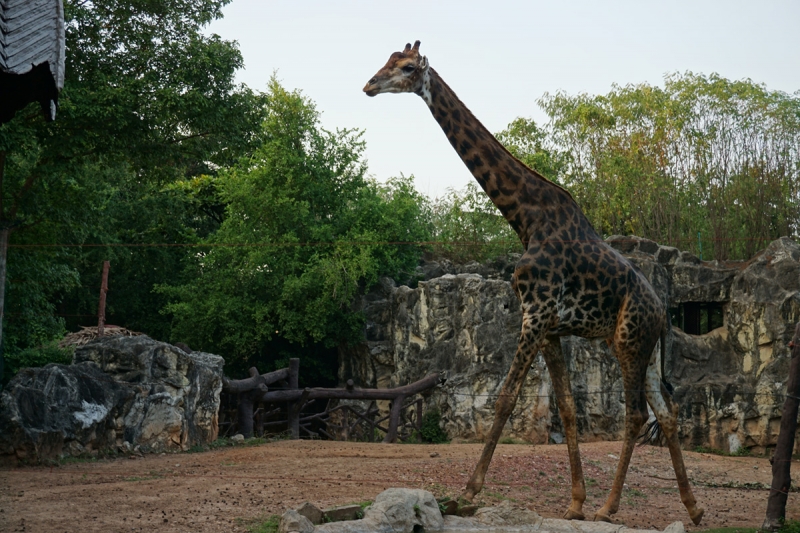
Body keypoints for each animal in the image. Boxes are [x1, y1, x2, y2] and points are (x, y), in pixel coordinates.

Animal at [366, 41, 704, 524]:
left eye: (408, 68)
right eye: (387, 61)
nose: (369, 85)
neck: (525, 217)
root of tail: (663, 312)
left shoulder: (534, 314)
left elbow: (506, 398)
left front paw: (468, 493)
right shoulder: (549, 328)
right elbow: (566, 408)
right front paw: (575, 502)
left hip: (628, 340)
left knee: (637, 415)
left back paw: (610, 507)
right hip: (649, 349)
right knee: (668, 411)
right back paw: (693, 508)